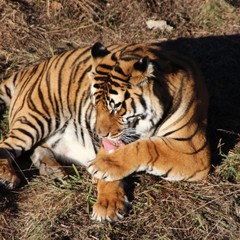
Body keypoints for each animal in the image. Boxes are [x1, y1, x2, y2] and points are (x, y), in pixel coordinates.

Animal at [0, 40, 210, 221]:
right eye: (95, 104)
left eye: (115, 107)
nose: (99, 134)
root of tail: (32, 68)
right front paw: (108, 203)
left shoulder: (193, 149)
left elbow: (146, 147)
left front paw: (101, 171)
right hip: (35, 117)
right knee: (7, 145)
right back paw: (8, 177)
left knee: (37, 149)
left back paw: (53, 171)